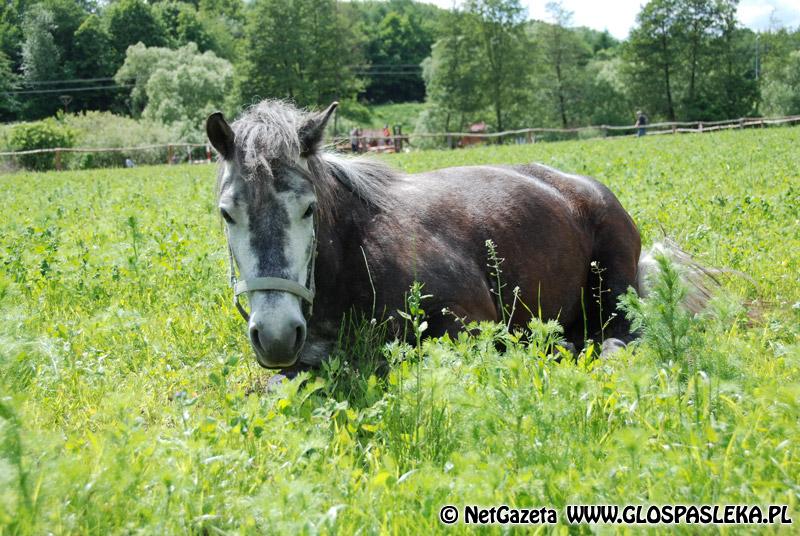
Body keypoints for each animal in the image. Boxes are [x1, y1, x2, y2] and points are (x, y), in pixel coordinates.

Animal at [206, 99, 656, 372]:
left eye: (308, 209)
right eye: (228, 214)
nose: (276, 335)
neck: (357, 255)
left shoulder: (471, 323)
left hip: (614, 287)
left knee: (621, 336)